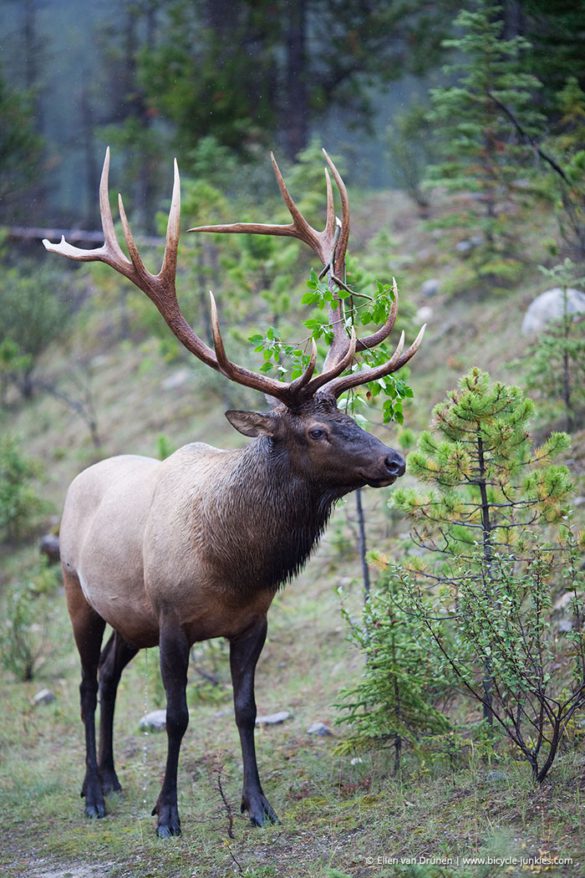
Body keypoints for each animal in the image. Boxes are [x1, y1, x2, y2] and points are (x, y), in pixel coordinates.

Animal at [42, 150, 424, 840]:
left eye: (349, 413)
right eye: (316, 429)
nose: (393, 459)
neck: (232, 562)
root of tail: (81, 478)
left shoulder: (252, 622)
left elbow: (246, 710)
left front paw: (258, 804)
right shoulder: (171, 620)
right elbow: (178, 717)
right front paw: (168, 814)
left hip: (129, 619)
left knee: (109, 674)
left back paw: (110, 778)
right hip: (78, 592)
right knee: (85, 682)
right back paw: (91, 794)